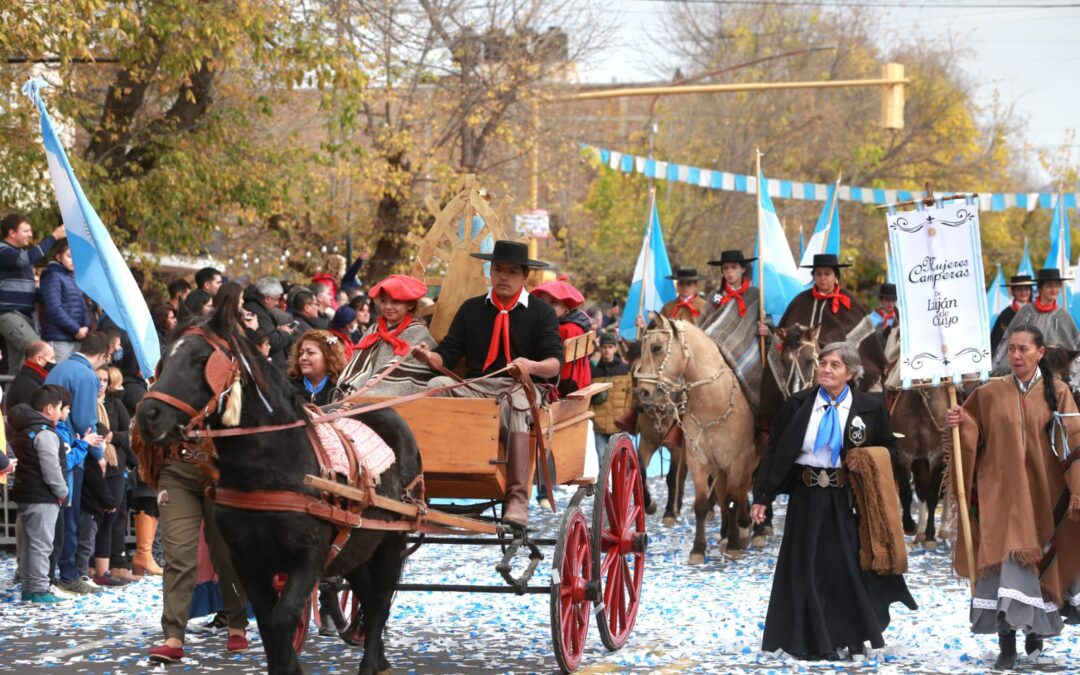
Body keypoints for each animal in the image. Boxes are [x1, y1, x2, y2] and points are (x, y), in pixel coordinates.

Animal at [136, 306, 421, 673]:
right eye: (165, 358)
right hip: (358, 542)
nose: (148, 414)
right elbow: (269, 624)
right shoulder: (247, 559)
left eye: (201, 358)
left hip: (392, 537)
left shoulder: (310, 555)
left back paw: (371, 662)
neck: (271, 464)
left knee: (381, 599)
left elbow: (284, 617)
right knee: (369, 597)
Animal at [635, 315, 756, 561]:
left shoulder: (737, 460)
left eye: (656, 347)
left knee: (740, 491)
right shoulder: (697, 458)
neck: (714, 403)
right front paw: (698, 549)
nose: (642, 392)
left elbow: (733, 499)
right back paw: (726, 532)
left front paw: (734, 545)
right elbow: (702, 504)